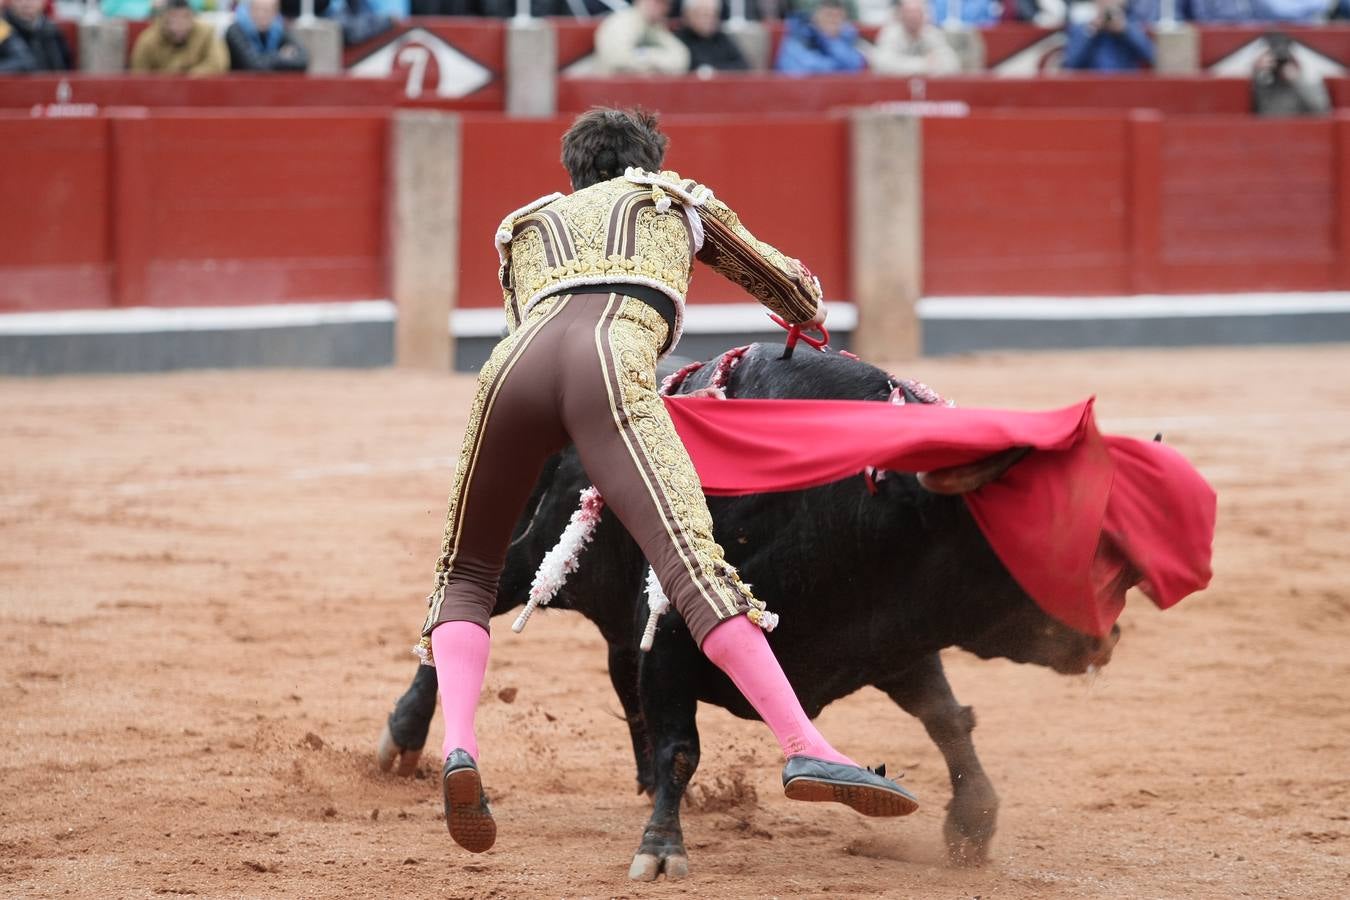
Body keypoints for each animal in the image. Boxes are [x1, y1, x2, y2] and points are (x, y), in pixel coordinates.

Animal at [378, 345, 1117, 879]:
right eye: (1017, 531)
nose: (1103, 633)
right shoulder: (677, 633)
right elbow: (682, 745)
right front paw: (661, 850)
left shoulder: (889, 640)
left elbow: (947, 719)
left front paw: (972, 824)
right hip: (535, 555)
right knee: (461, 610)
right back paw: (404, 743)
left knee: (618, 669)